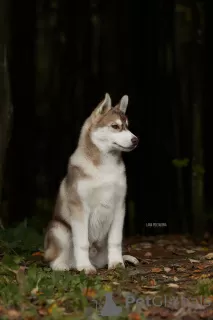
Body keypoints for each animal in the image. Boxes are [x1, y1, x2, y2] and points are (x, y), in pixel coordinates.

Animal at [44, 92, 139, 272]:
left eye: (127, 126)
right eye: (115, 126)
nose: (135, 140)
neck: (105, 168)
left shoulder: (119, 206)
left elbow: (115, 240)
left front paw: (116, 262)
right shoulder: (80, 208)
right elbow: (82, 243)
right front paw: (85, 267)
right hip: (59, 230)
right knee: (54, 258)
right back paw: (64, 266)